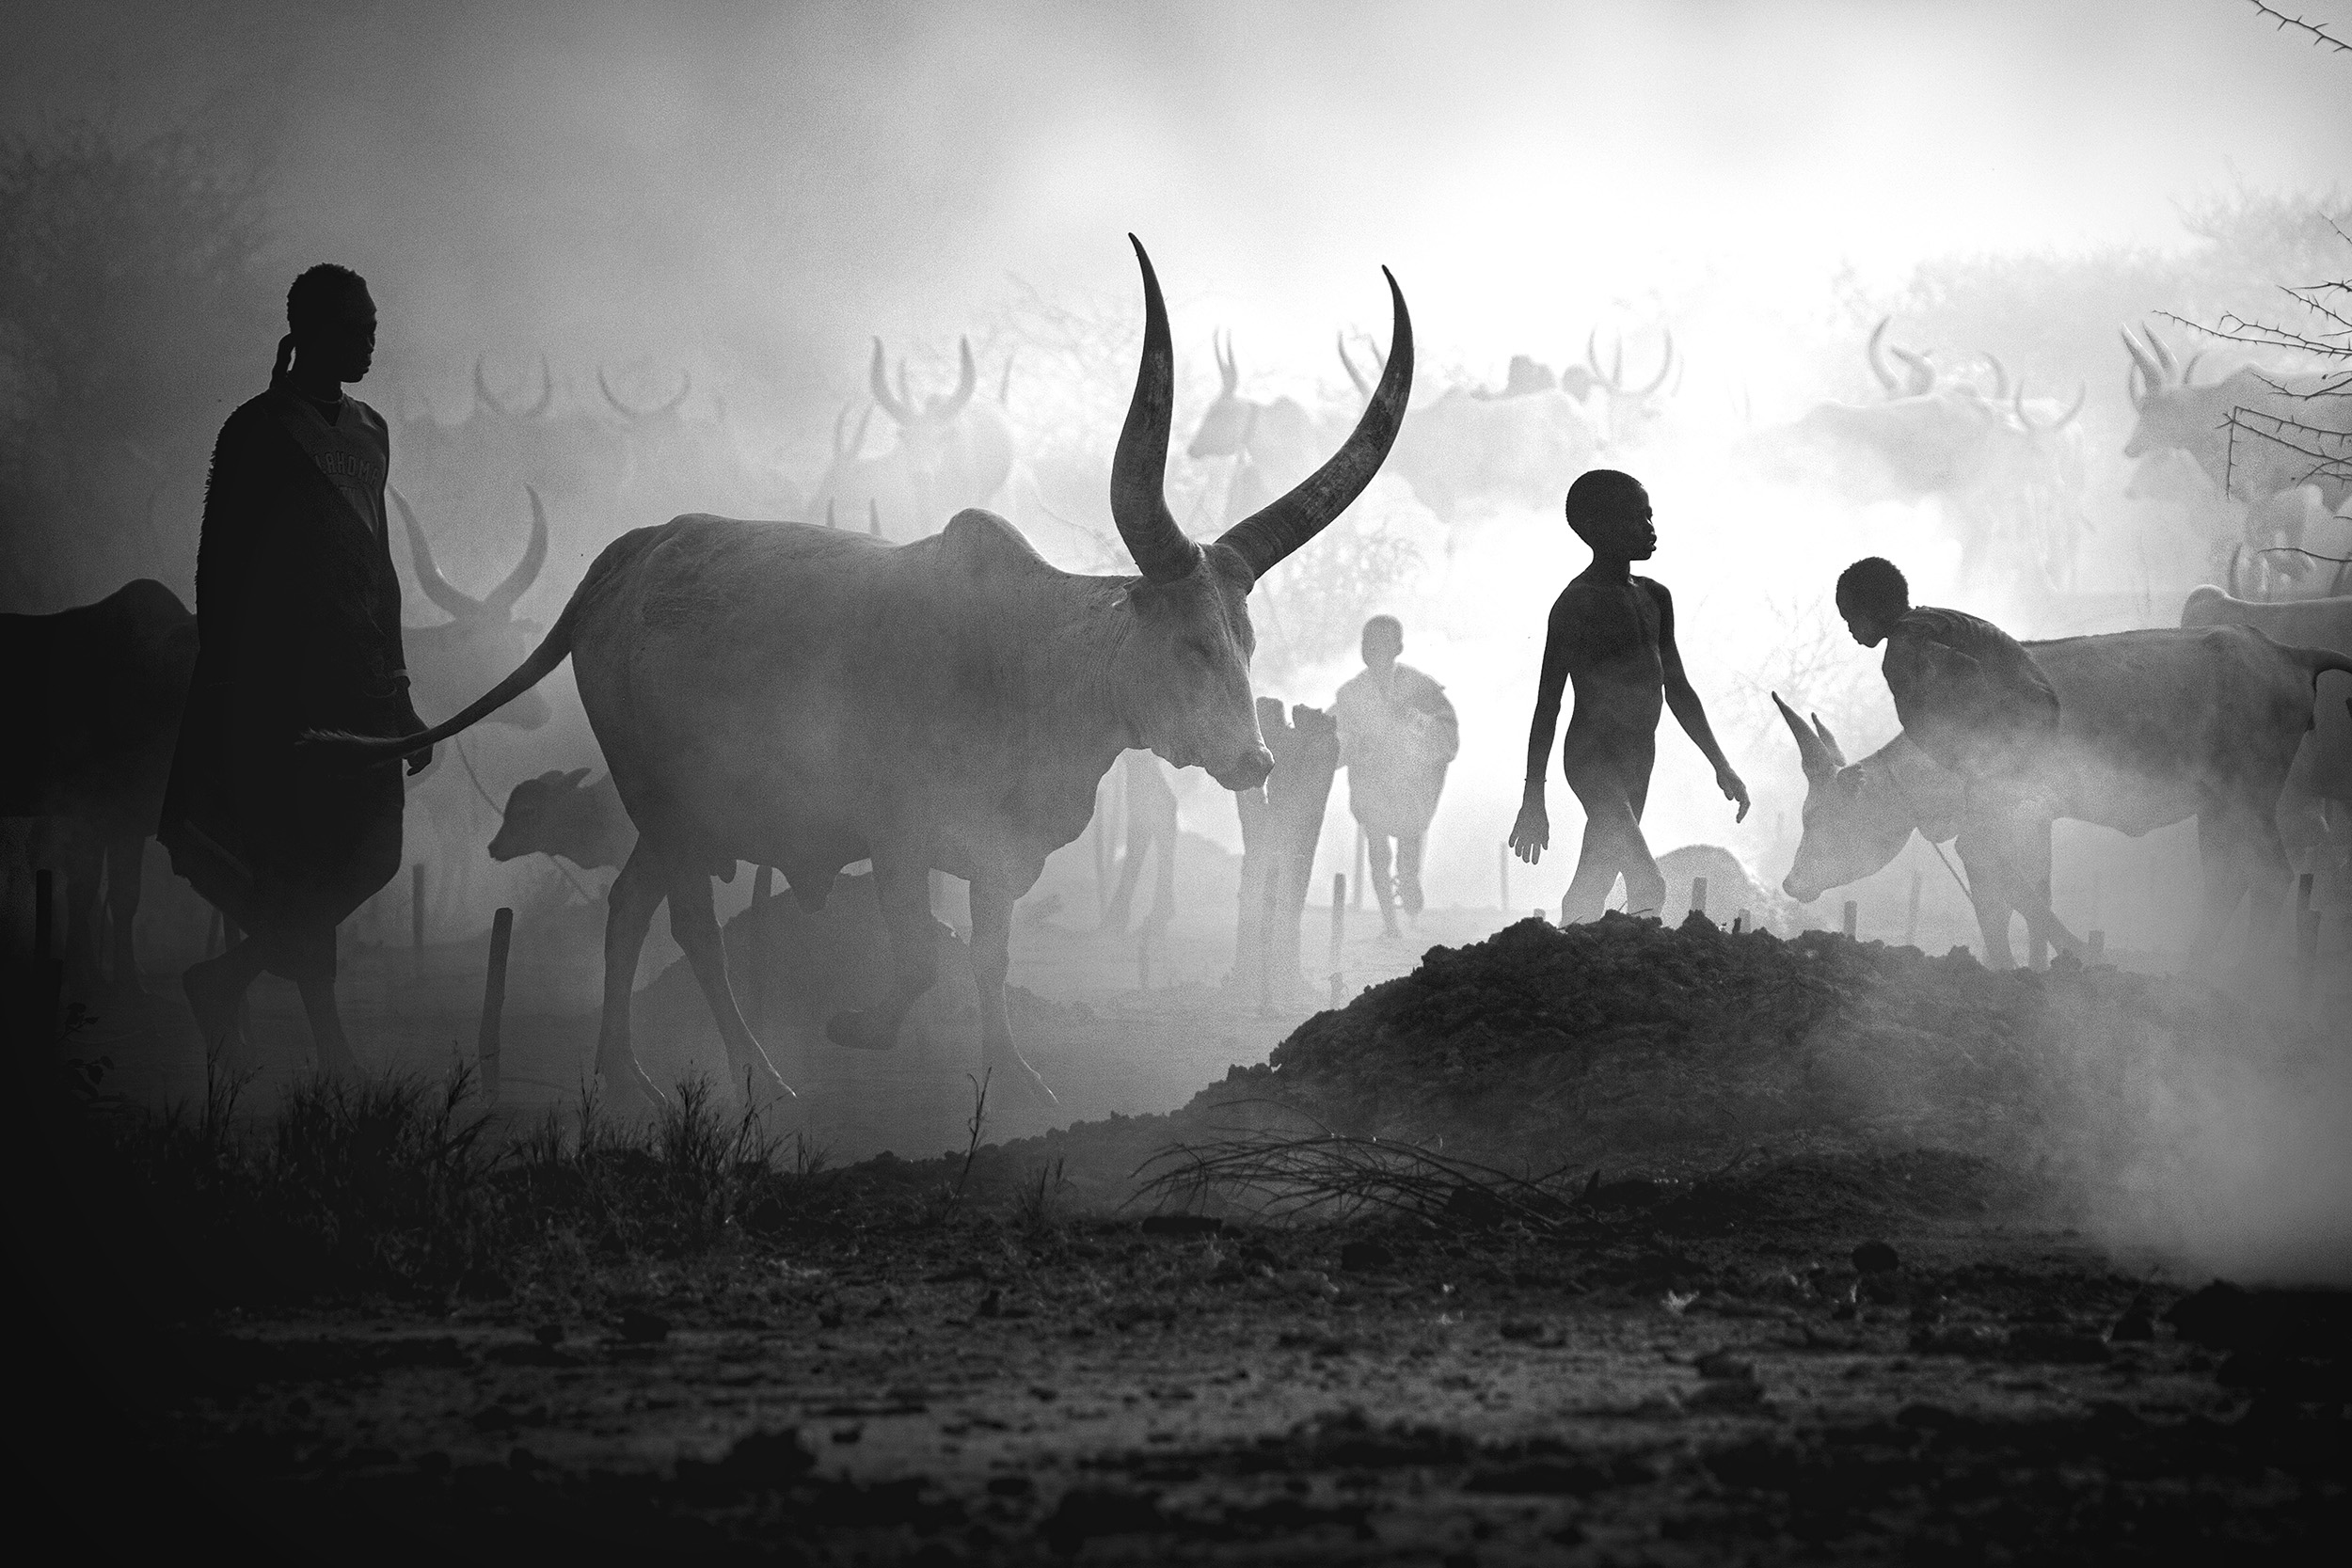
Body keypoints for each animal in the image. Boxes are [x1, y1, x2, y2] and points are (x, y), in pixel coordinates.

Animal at [0, 582, 198, 987]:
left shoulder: (128, 818)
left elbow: (125, 896)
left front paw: (128, 979)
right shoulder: (86, 811)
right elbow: (83, 889)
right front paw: (84, 973)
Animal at [312, 239, 1411, 1109]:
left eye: (1246, 639)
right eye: (1186, 640)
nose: (1255, 761)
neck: (1025, 661)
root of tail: (621, 563)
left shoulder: (998, 856)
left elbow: (988, 957)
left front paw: (1015, 1075)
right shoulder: (895, 837)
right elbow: (923, 953)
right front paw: (860, 1029)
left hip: (685, 816)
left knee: (630, 909)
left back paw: (625, 1072)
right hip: (660, 796)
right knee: (691, 924)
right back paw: (762, 1071)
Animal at [1778, 625, 2352, 968]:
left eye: (1820, 817)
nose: (1791, 882)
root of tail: (2287, 653)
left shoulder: (2010, 817)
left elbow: (2017, 891)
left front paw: (2081, 956)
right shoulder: (2018, 823)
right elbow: (2006, 899)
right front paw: (2019, 969)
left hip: (2248, 797)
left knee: (2270, 875)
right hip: (2219, 809)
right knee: (2228, 877)